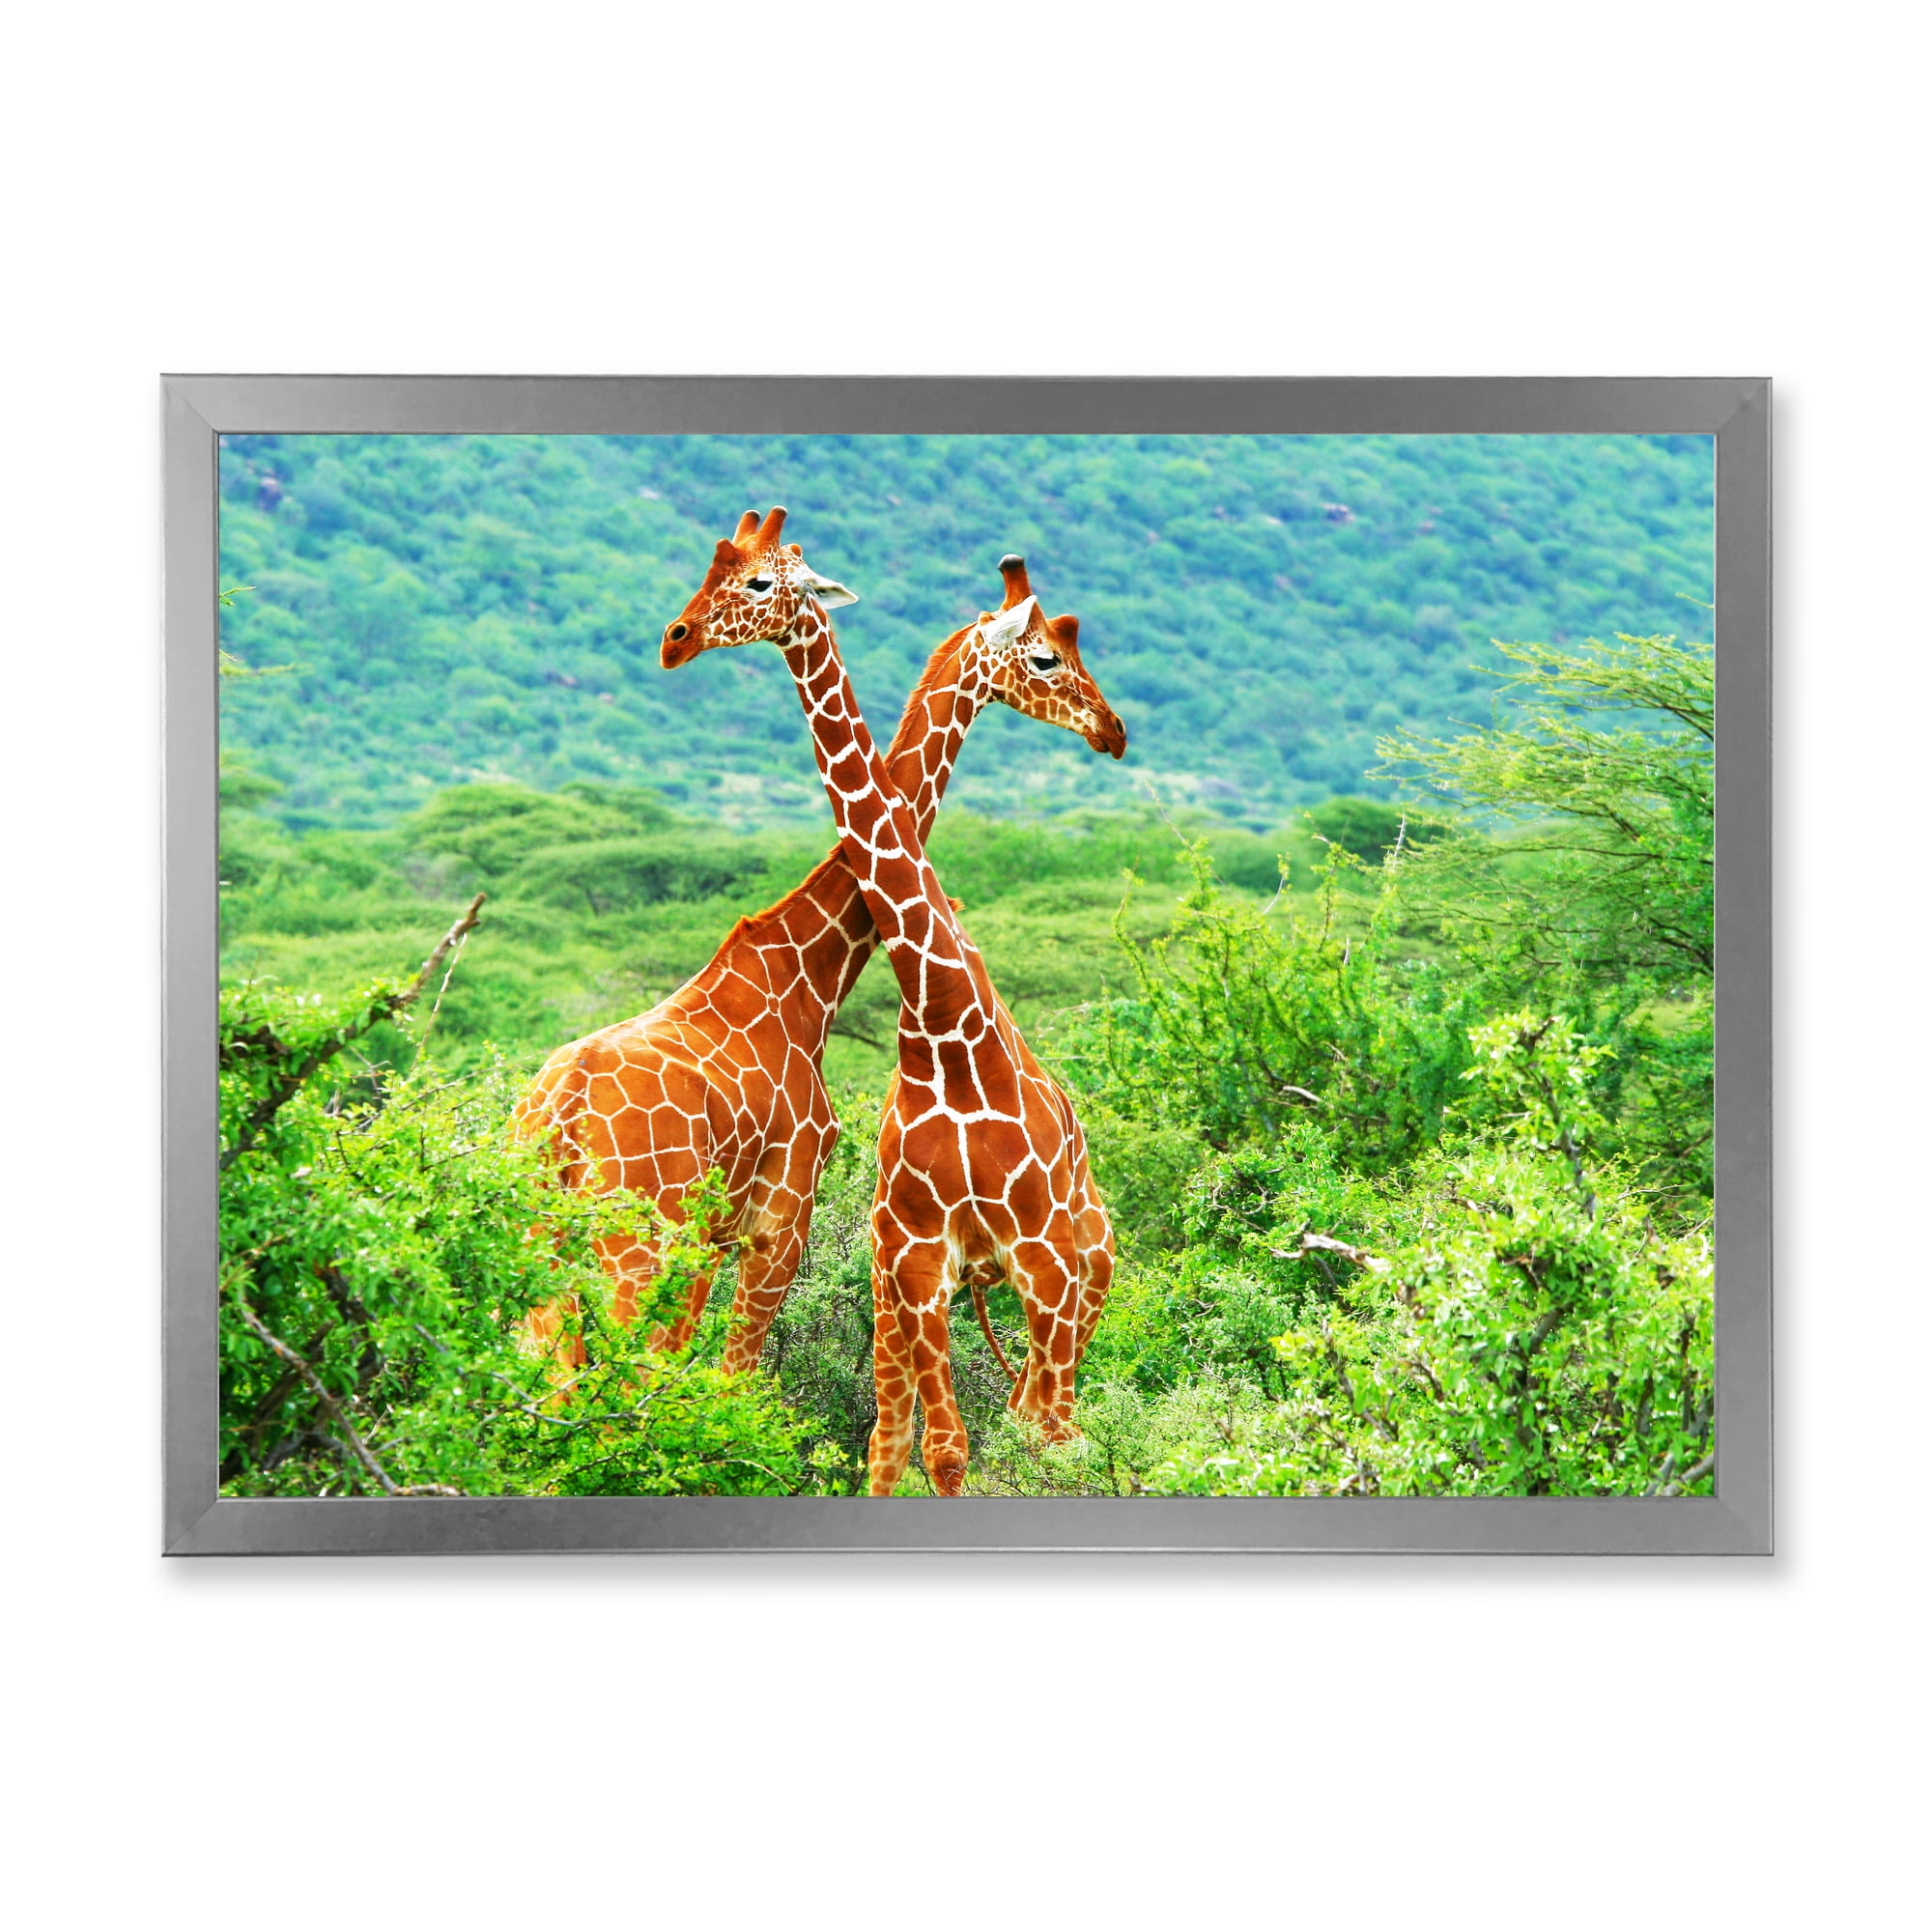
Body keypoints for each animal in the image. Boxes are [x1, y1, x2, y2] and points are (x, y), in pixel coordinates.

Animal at [515, 515, 1125, 1385]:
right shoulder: (779, 1218)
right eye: (1048, 656)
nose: (1111, 728)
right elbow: (730, 1383)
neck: (810, 974)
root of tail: (556, 1116)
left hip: (546, 1244)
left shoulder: (725, 1234)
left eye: (752, 578)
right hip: (636, 1240)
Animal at [662, 508, 1121, 1496]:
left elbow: (1026, 1439)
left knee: (1055, 1422)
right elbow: (934, 1449)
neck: (943, 1024)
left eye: (759, 581)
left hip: (1086, 1269)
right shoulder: (914, 1261)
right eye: (1048, 657)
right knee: (929, 1428)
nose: (1114, 730)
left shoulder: (1041, 1263)